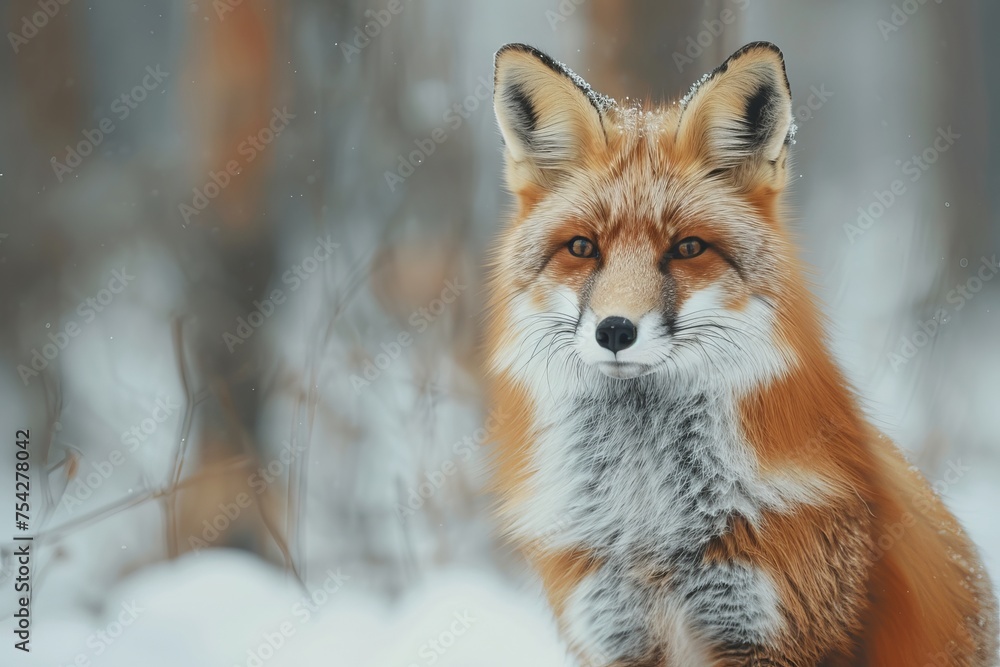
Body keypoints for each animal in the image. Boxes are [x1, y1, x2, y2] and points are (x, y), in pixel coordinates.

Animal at [483, 41, 998, 666]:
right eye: (582, 248)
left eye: (687, 248)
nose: (615, 330)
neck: (651, 526)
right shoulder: (616, 631)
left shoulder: (776, 628)